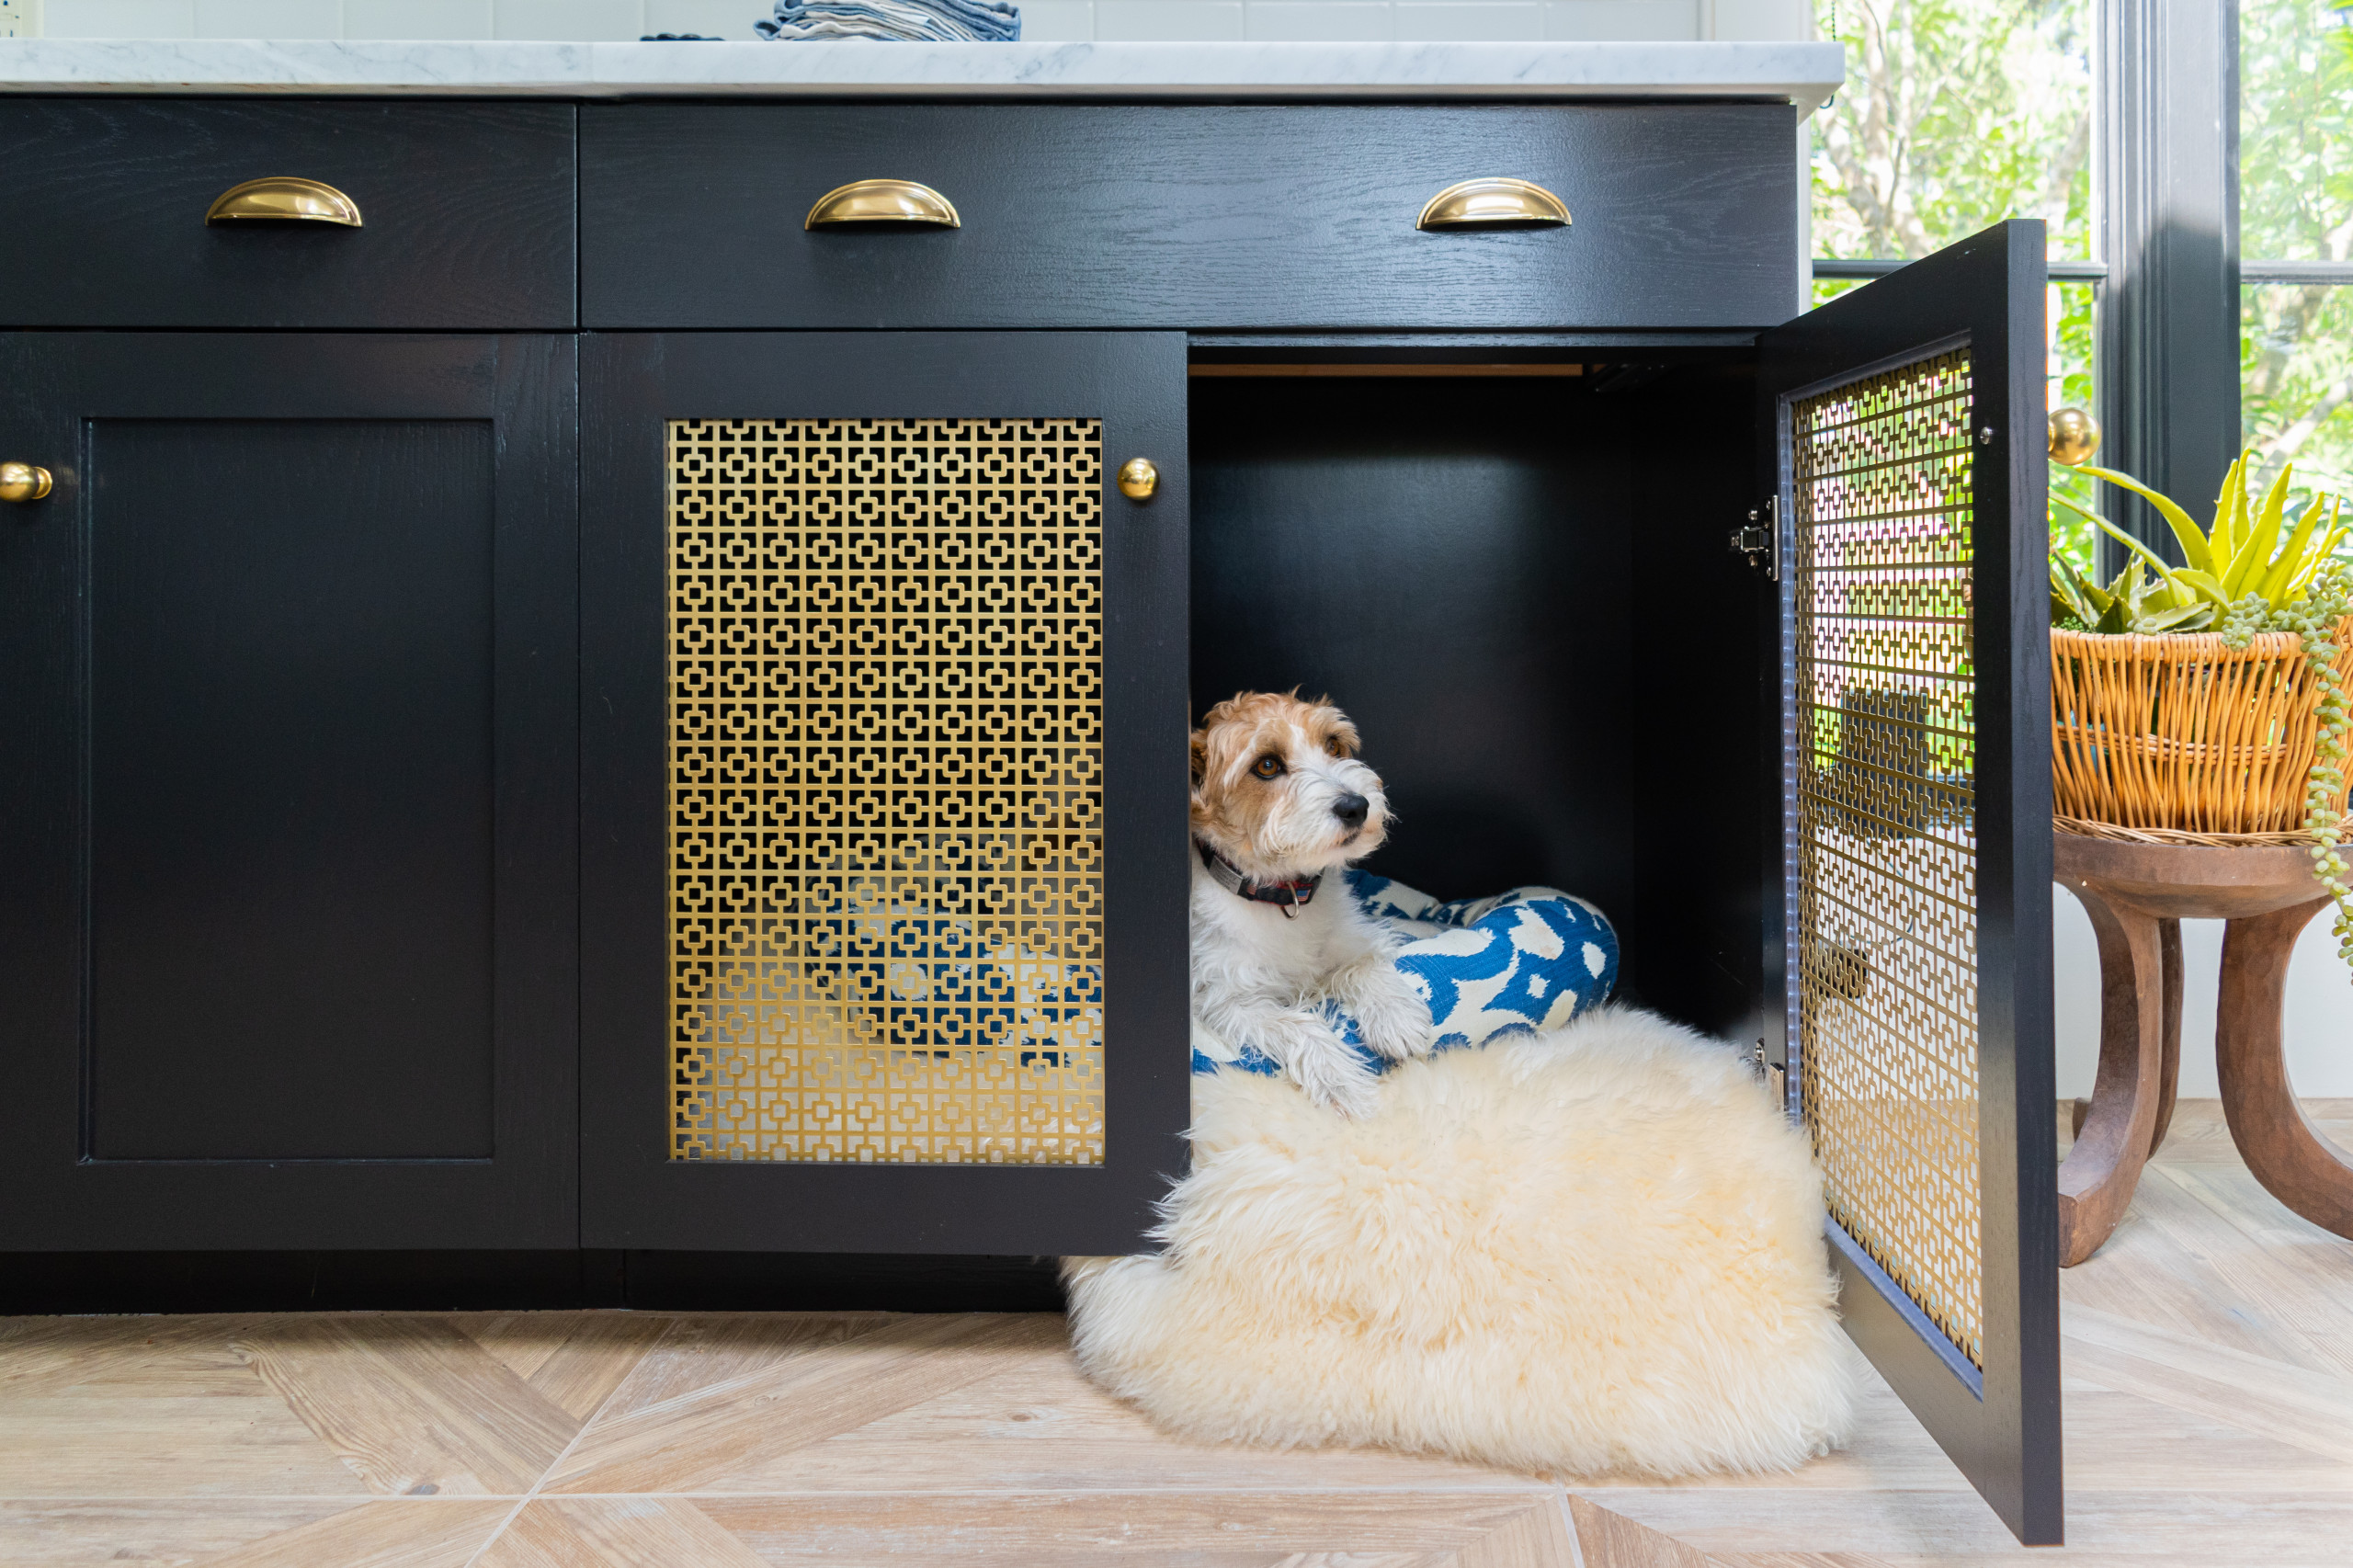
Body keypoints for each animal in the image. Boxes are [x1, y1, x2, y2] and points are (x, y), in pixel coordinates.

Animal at [1189, 691, 1434, 1116]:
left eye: (1333, 745)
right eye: (1267, 765)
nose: (1356, 806)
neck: (1284, 896)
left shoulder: (1352, 943)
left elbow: (1364, 965)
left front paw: (1397, 1018)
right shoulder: (1229, 1000)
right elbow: (1298, 1026)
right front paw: (1342, 1082)